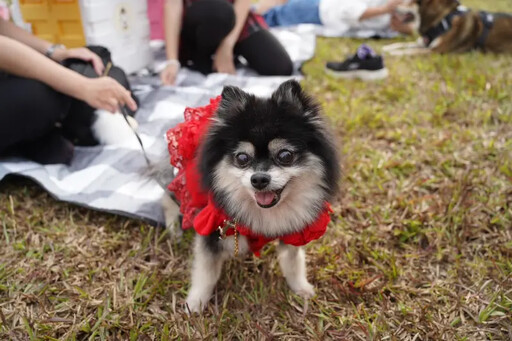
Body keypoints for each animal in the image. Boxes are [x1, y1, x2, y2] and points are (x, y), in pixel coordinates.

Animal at [384, 0, 512, 55]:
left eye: (410, 2)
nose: (393, 6)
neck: (440, 20)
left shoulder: (435, 51)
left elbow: (409, 50)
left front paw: (394, 53)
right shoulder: (425, 43)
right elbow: (403, 44)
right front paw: (388, 47)